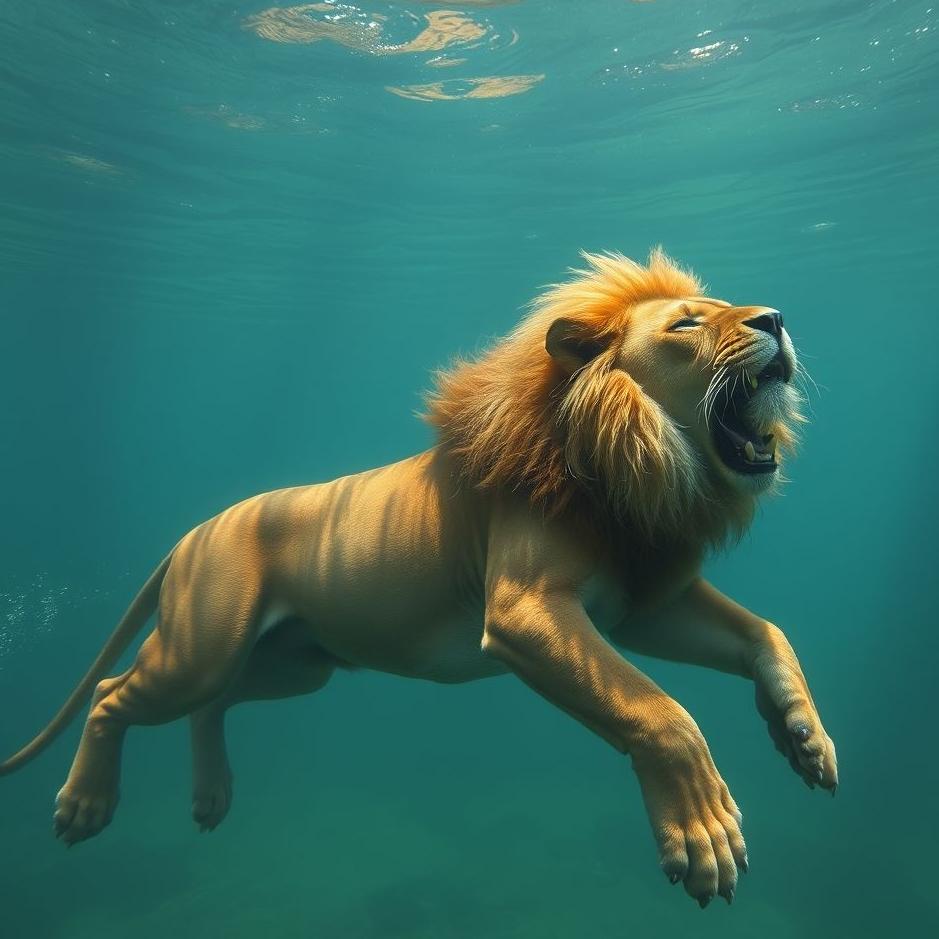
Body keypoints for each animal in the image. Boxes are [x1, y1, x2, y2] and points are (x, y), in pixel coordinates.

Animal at [0, 249, 837, 907]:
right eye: (686, 325)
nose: (775, 317)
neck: (639, 464)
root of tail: (188, 535)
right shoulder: (525, 612)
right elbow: (657, 710)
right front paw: (702, 835)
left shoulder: (640, 605)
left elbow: (766, 632)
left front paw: (803, 736)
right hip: (201, 647)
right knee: (114, 695)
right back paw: (84, 805)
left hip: (294, 663)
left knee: (214, 704)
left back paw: (211, 796)